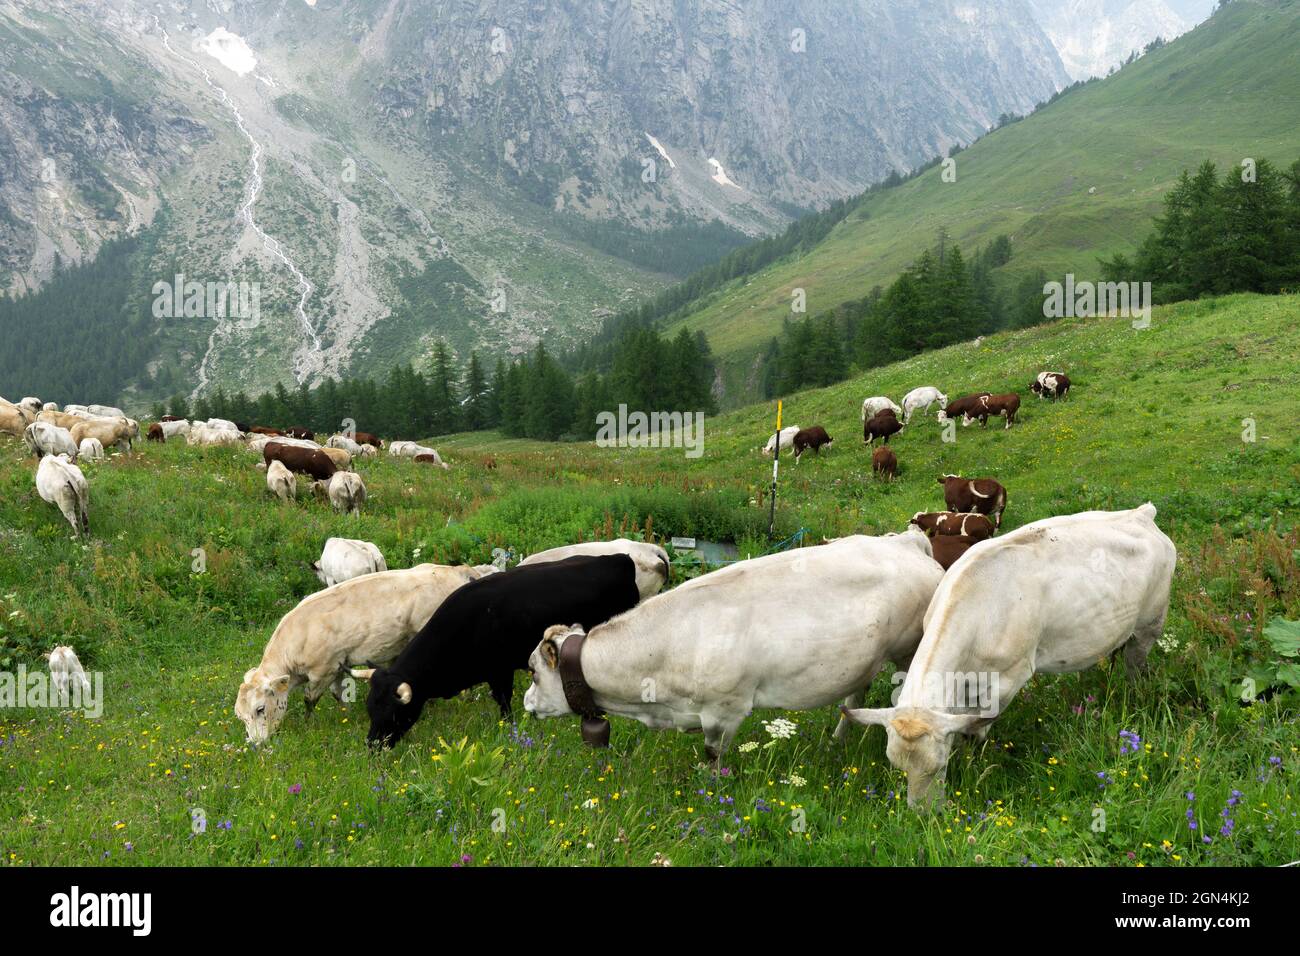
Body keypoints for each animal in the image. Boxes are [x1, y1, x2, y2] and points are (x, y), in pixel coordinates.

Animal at [235, 563, 498, 742]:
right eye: (240, 716)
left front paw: (309, 724)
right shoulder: (338, 664)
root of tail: (458, 570)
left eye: (260, 709)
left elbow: (310, 699)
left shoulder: (323, 670)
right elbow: (338, 694)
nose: (256, 744)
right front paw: (346, 715)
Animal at [364, 554, 647, 747]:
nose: (372, 745)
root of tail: (620, 559)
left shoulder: (500, 670)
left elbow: (504, 702)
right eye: (370, 708)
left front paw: (509, 729)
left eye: (393, 712)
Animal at [840, 504, 1176, 808]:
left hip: (1150, 625)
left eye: (939, 766)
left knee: (1136, 667)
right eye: (898, 767)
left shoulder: (1007, 682)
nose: (922, 814)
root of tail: (1142, 512)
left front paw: (973, 765)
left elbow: (977, 730)